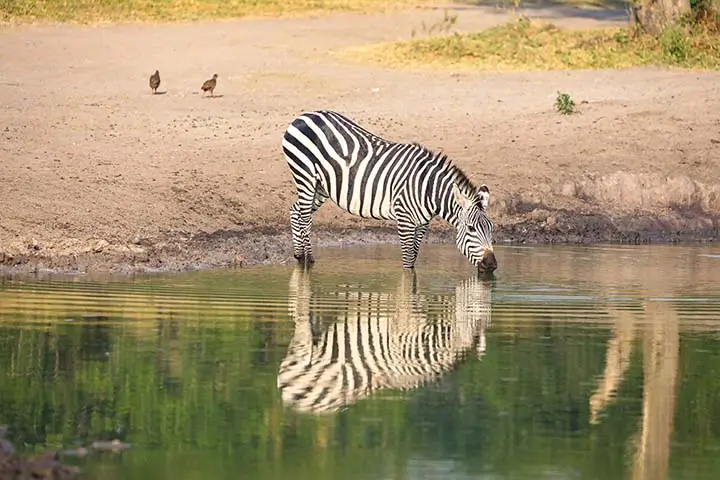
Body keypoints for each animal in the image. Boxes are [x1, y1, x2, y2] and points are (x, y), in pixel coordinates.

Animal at [284, 110, 498, 272]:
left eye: (491, 228)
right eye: (471, 228)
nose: (492, 265)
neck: (428, 189)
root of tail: (304, 115)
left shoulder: (422, 223)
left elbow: (414, 257)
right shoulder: (404, 220)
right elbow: (408, 261)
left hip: (321, 187)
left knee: (295, 211)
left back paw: (299, 255)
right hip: (306, 176)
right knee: (304, 217)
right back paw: (308, 259)